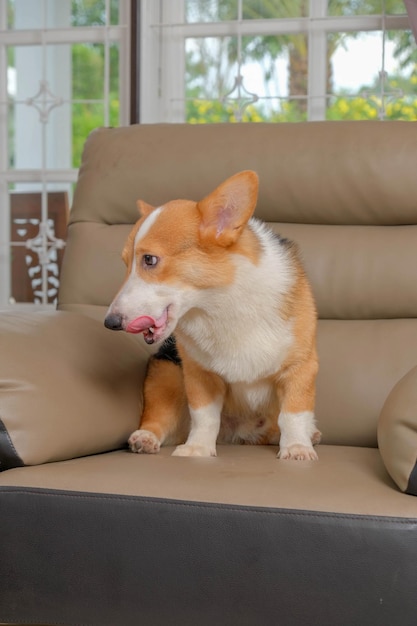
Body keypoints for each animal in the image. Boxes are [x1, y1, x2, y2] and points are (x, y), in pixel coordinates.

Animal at [104, 171, 318, 458]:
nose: (110, 322)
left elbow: (293, 415)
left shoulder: (300, 368)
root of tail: (236, 434)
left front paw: (296, 448)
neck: (219, 303)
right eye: (126, 264)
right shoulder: (198, 374)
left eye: (149, 259)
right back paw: (145, 438)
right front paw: (198, 449)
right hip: (167, 373)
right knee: (160, 419)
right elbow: (204, 416)